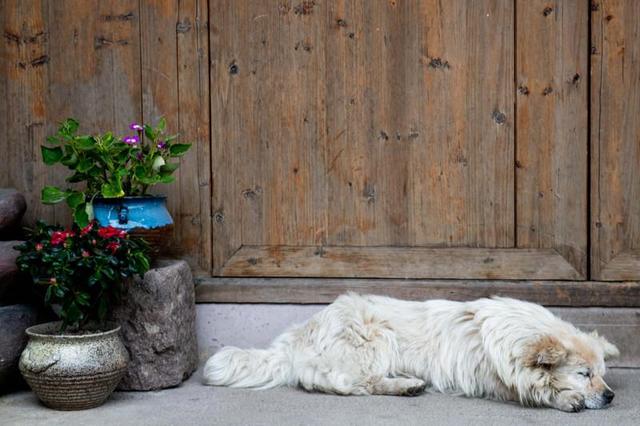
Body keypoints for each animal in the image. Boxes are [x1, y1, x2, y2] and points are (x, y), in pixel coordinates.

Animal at [202, 294, 616, 412]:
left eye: (602, 374)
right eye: (584, 375)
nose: (611, 396)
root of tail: (299, 334)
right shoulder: (498, 379)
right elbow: (532, 387)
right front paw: (562, 397)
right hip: (376, 337)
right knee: (354, 384)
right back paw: (404, 386)